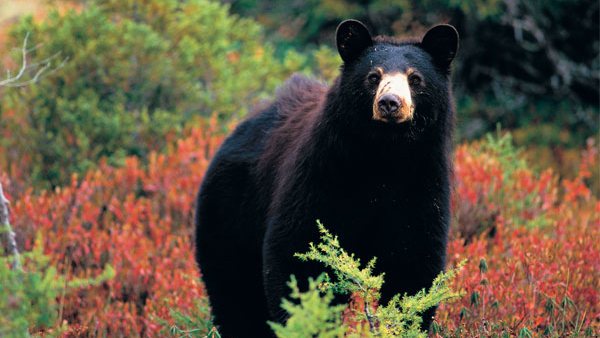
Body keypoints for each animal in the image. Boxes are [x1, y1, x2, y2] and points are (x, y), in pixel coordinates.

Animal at [195, 19, 458, 336]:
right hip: (231, 209)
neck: (384, 156)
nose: (390, 103)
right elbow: (300, 253)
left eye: (415, 78)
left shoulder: (421, 182)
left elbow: (412, 263)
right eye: (373, 76)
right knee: (234, 285)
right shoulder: (323, 172)